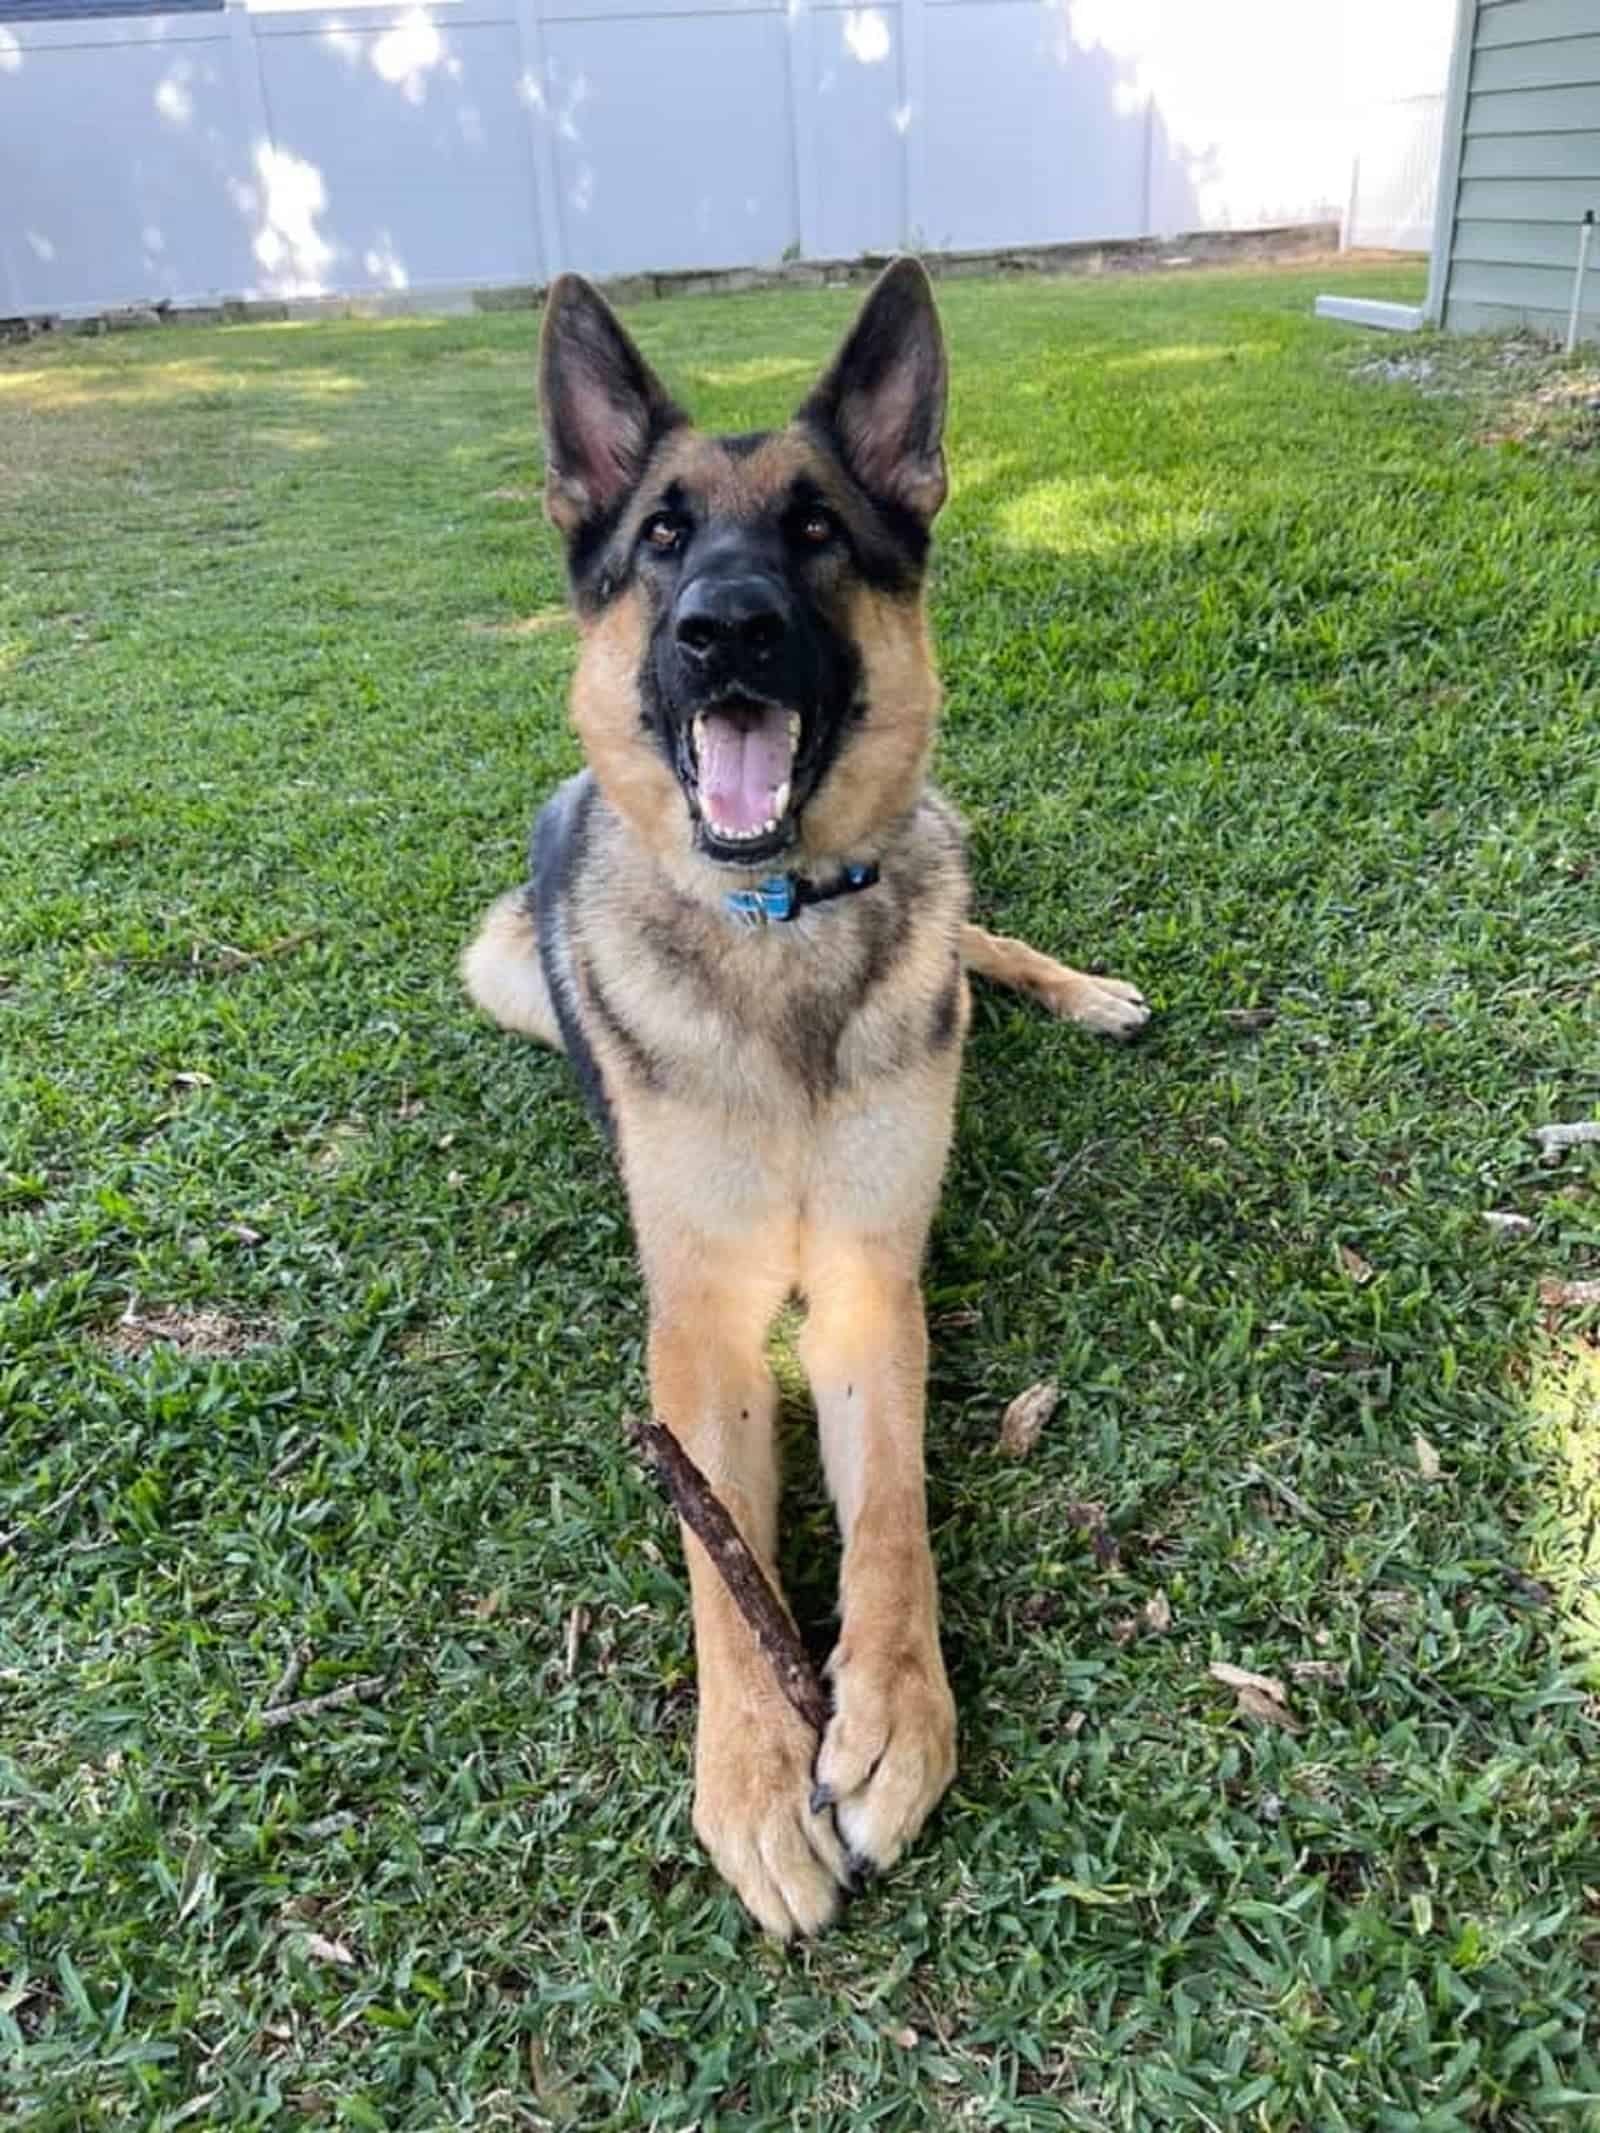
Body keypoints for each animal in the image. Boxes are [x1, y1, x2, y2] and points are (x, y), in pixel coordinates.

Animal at [456, 258, 1143, 1945]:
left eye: (820, 528)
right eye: (661, 534)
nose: (727, 630)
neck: (777, 938)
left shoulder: (867, 1285)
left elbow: (889, 1515)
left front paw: (888, 1719)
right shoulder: (701, 1328)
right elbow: (723, 1568)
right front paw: (759, 1775)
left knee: (968, 928)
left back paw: (1078, 988)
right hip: (495, 968)